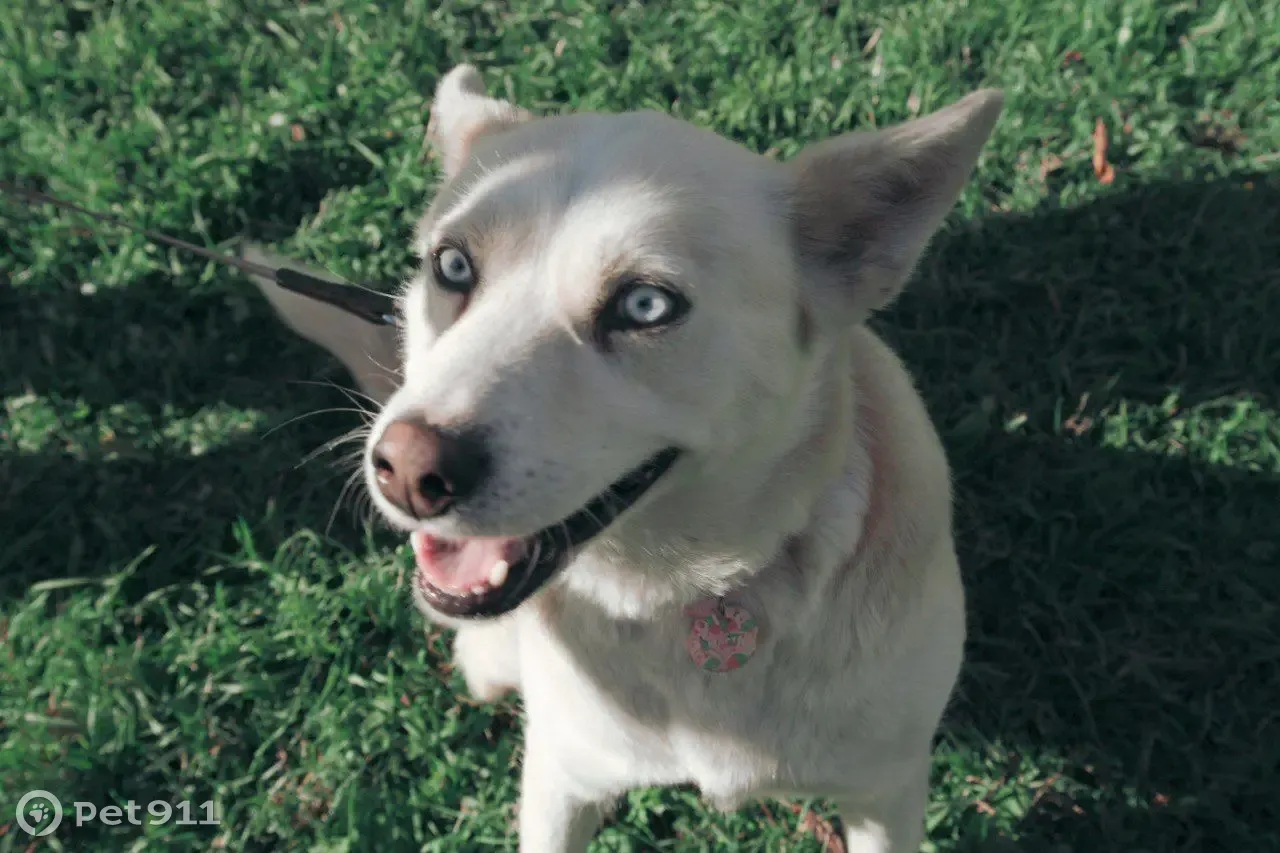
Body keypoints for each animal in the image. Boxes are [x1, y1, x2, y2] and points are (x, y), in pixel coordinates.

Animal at [254, 68, 1003, 850]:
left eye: (645, 305)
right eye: (452, 266)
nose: (406, 470)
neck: (692, 591)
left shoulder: (886, 793)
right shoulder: (561, 781)